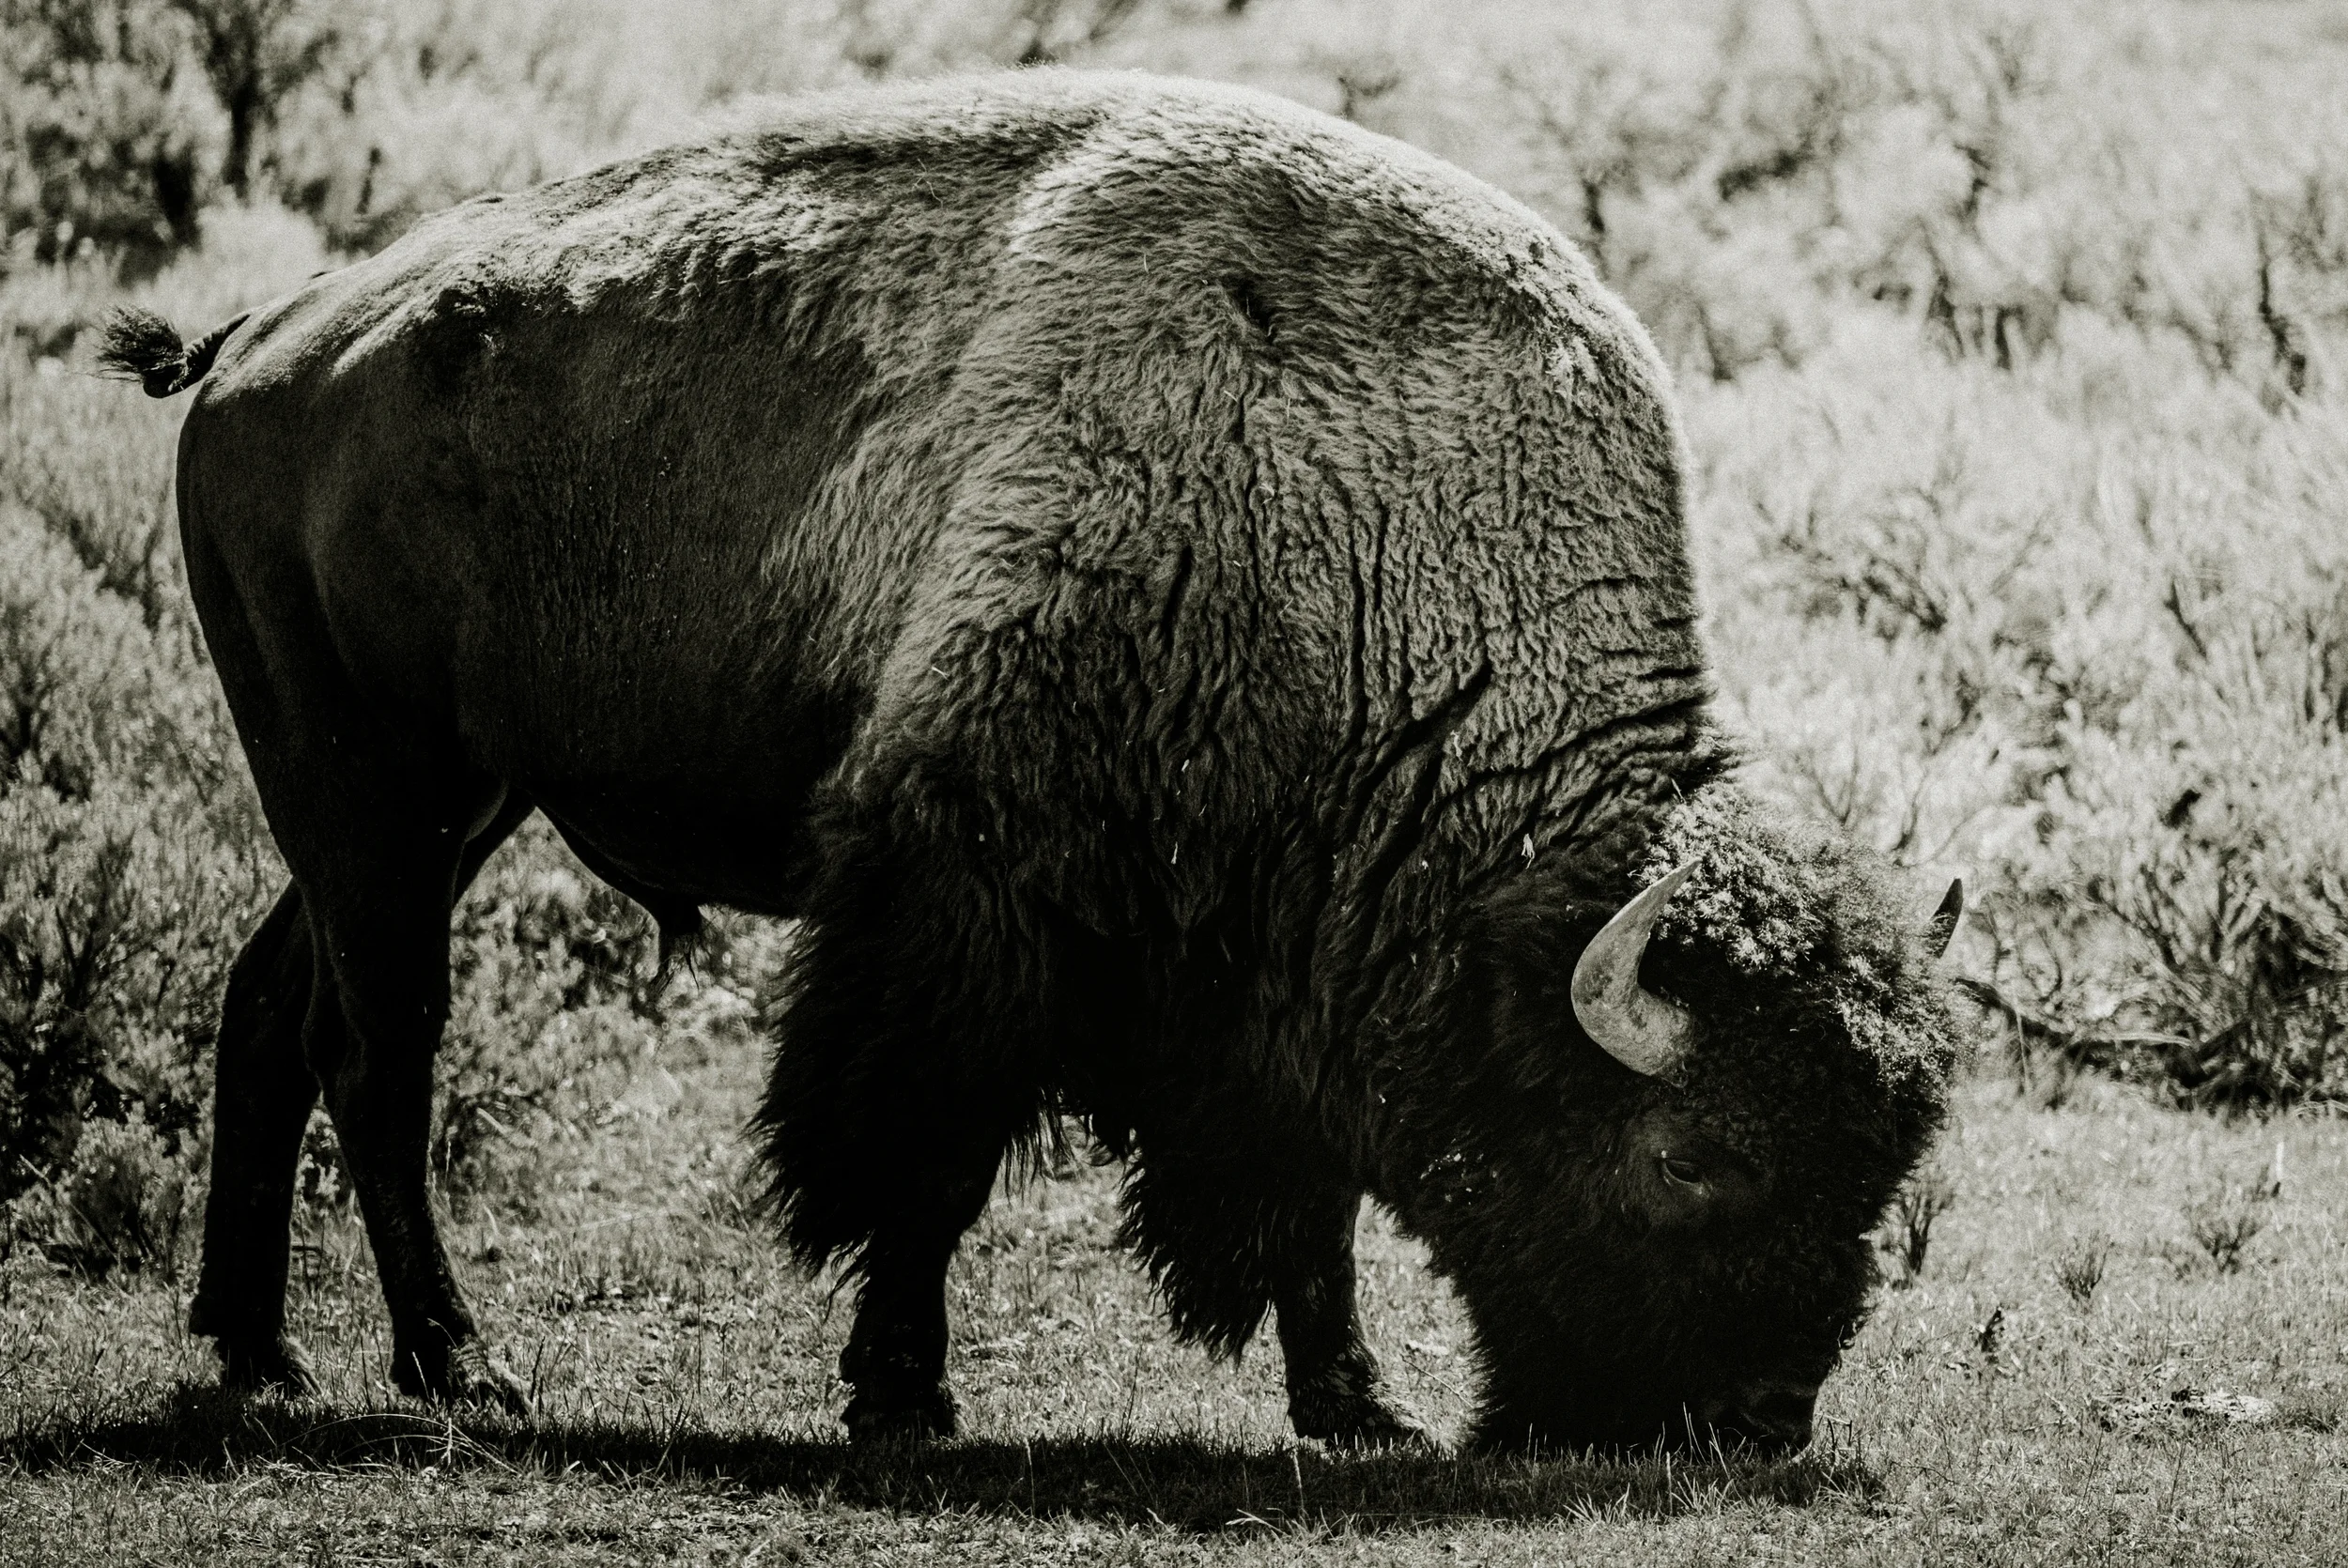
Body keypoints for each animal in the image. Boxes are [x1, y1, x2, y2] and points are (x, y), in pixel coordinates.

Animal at [102, 69, 1959, 1452]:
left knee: (270, 1007)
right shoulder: (969, 905)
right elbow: (921, 1160)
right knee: (381, 1053)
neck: (1361, 515)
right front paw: (903, 1398)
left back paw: (259, 1355)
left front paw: (1359, 1408)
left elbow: (1312, 1200)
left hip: (429, 809)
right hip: (372, 791)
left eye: (1890, 1165)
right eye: (1689, 1159)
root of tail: (261, 339)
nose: (1757, 1418)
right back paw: (461, 1370)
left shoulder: (1285, 965)